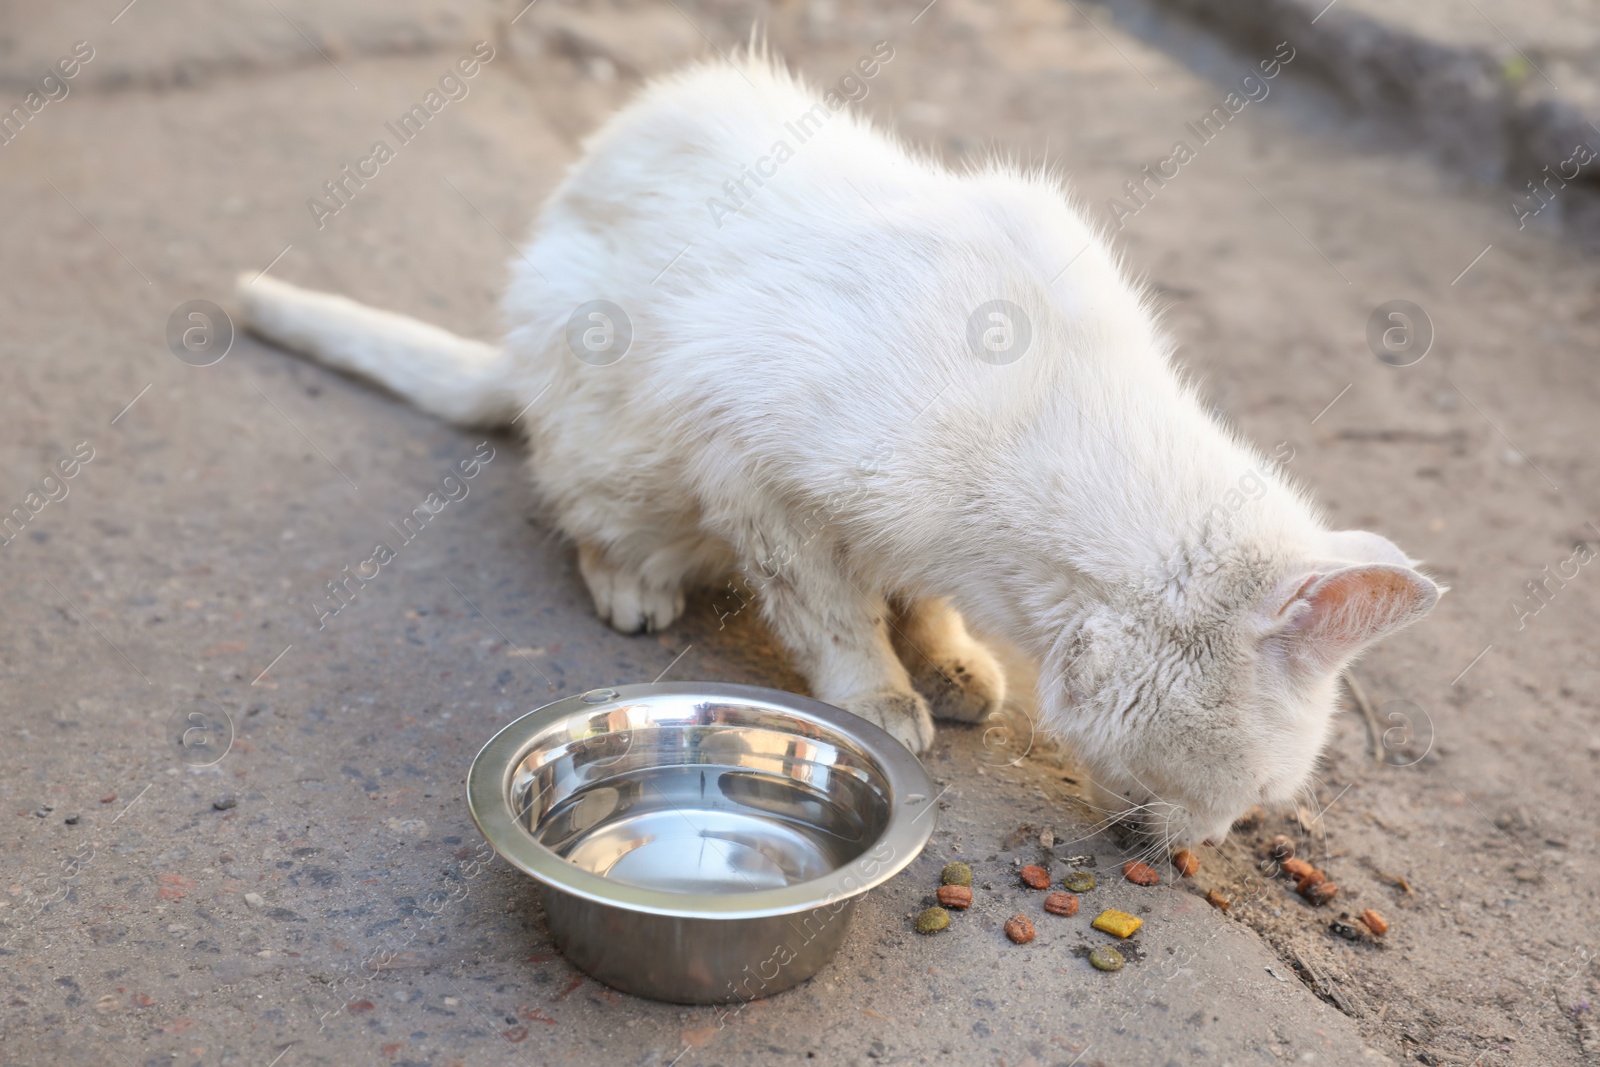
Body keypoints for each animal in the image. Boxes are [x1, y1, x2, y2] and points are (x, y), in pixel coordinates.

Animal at [233, 47, 1440, 851]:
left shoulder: (905, 537)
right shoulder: (749, 462)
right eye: (1257, 792)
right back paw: (633, 588)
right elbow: (830, 610)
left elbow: (920, 597)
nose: (1208, 842)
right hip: (612, 434)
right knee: (589, 516)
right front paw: (883, 696)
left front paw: (952, 662)